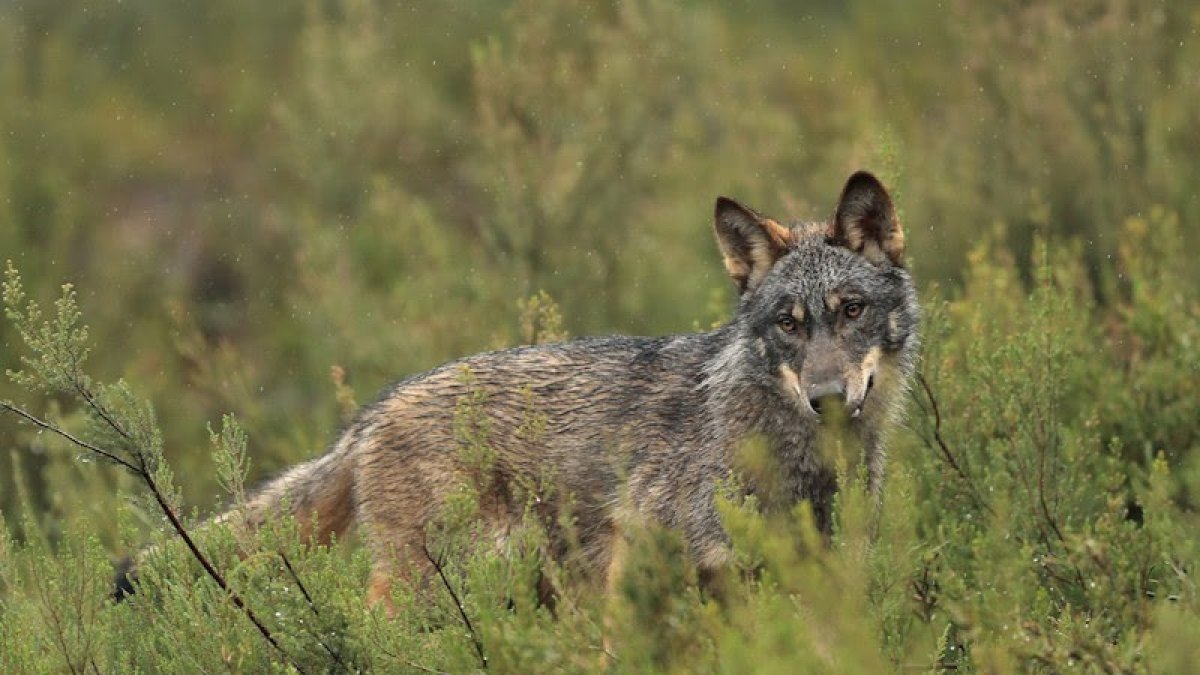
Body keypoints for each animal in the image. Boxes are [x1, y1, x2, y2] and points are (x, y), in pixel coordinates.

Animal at [116, 171, 919, 604]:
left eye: (851, 311)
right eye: (787, 323)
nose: (826, 398)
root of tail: (371, 412)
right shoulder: (646, 562)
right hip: (433, 586)